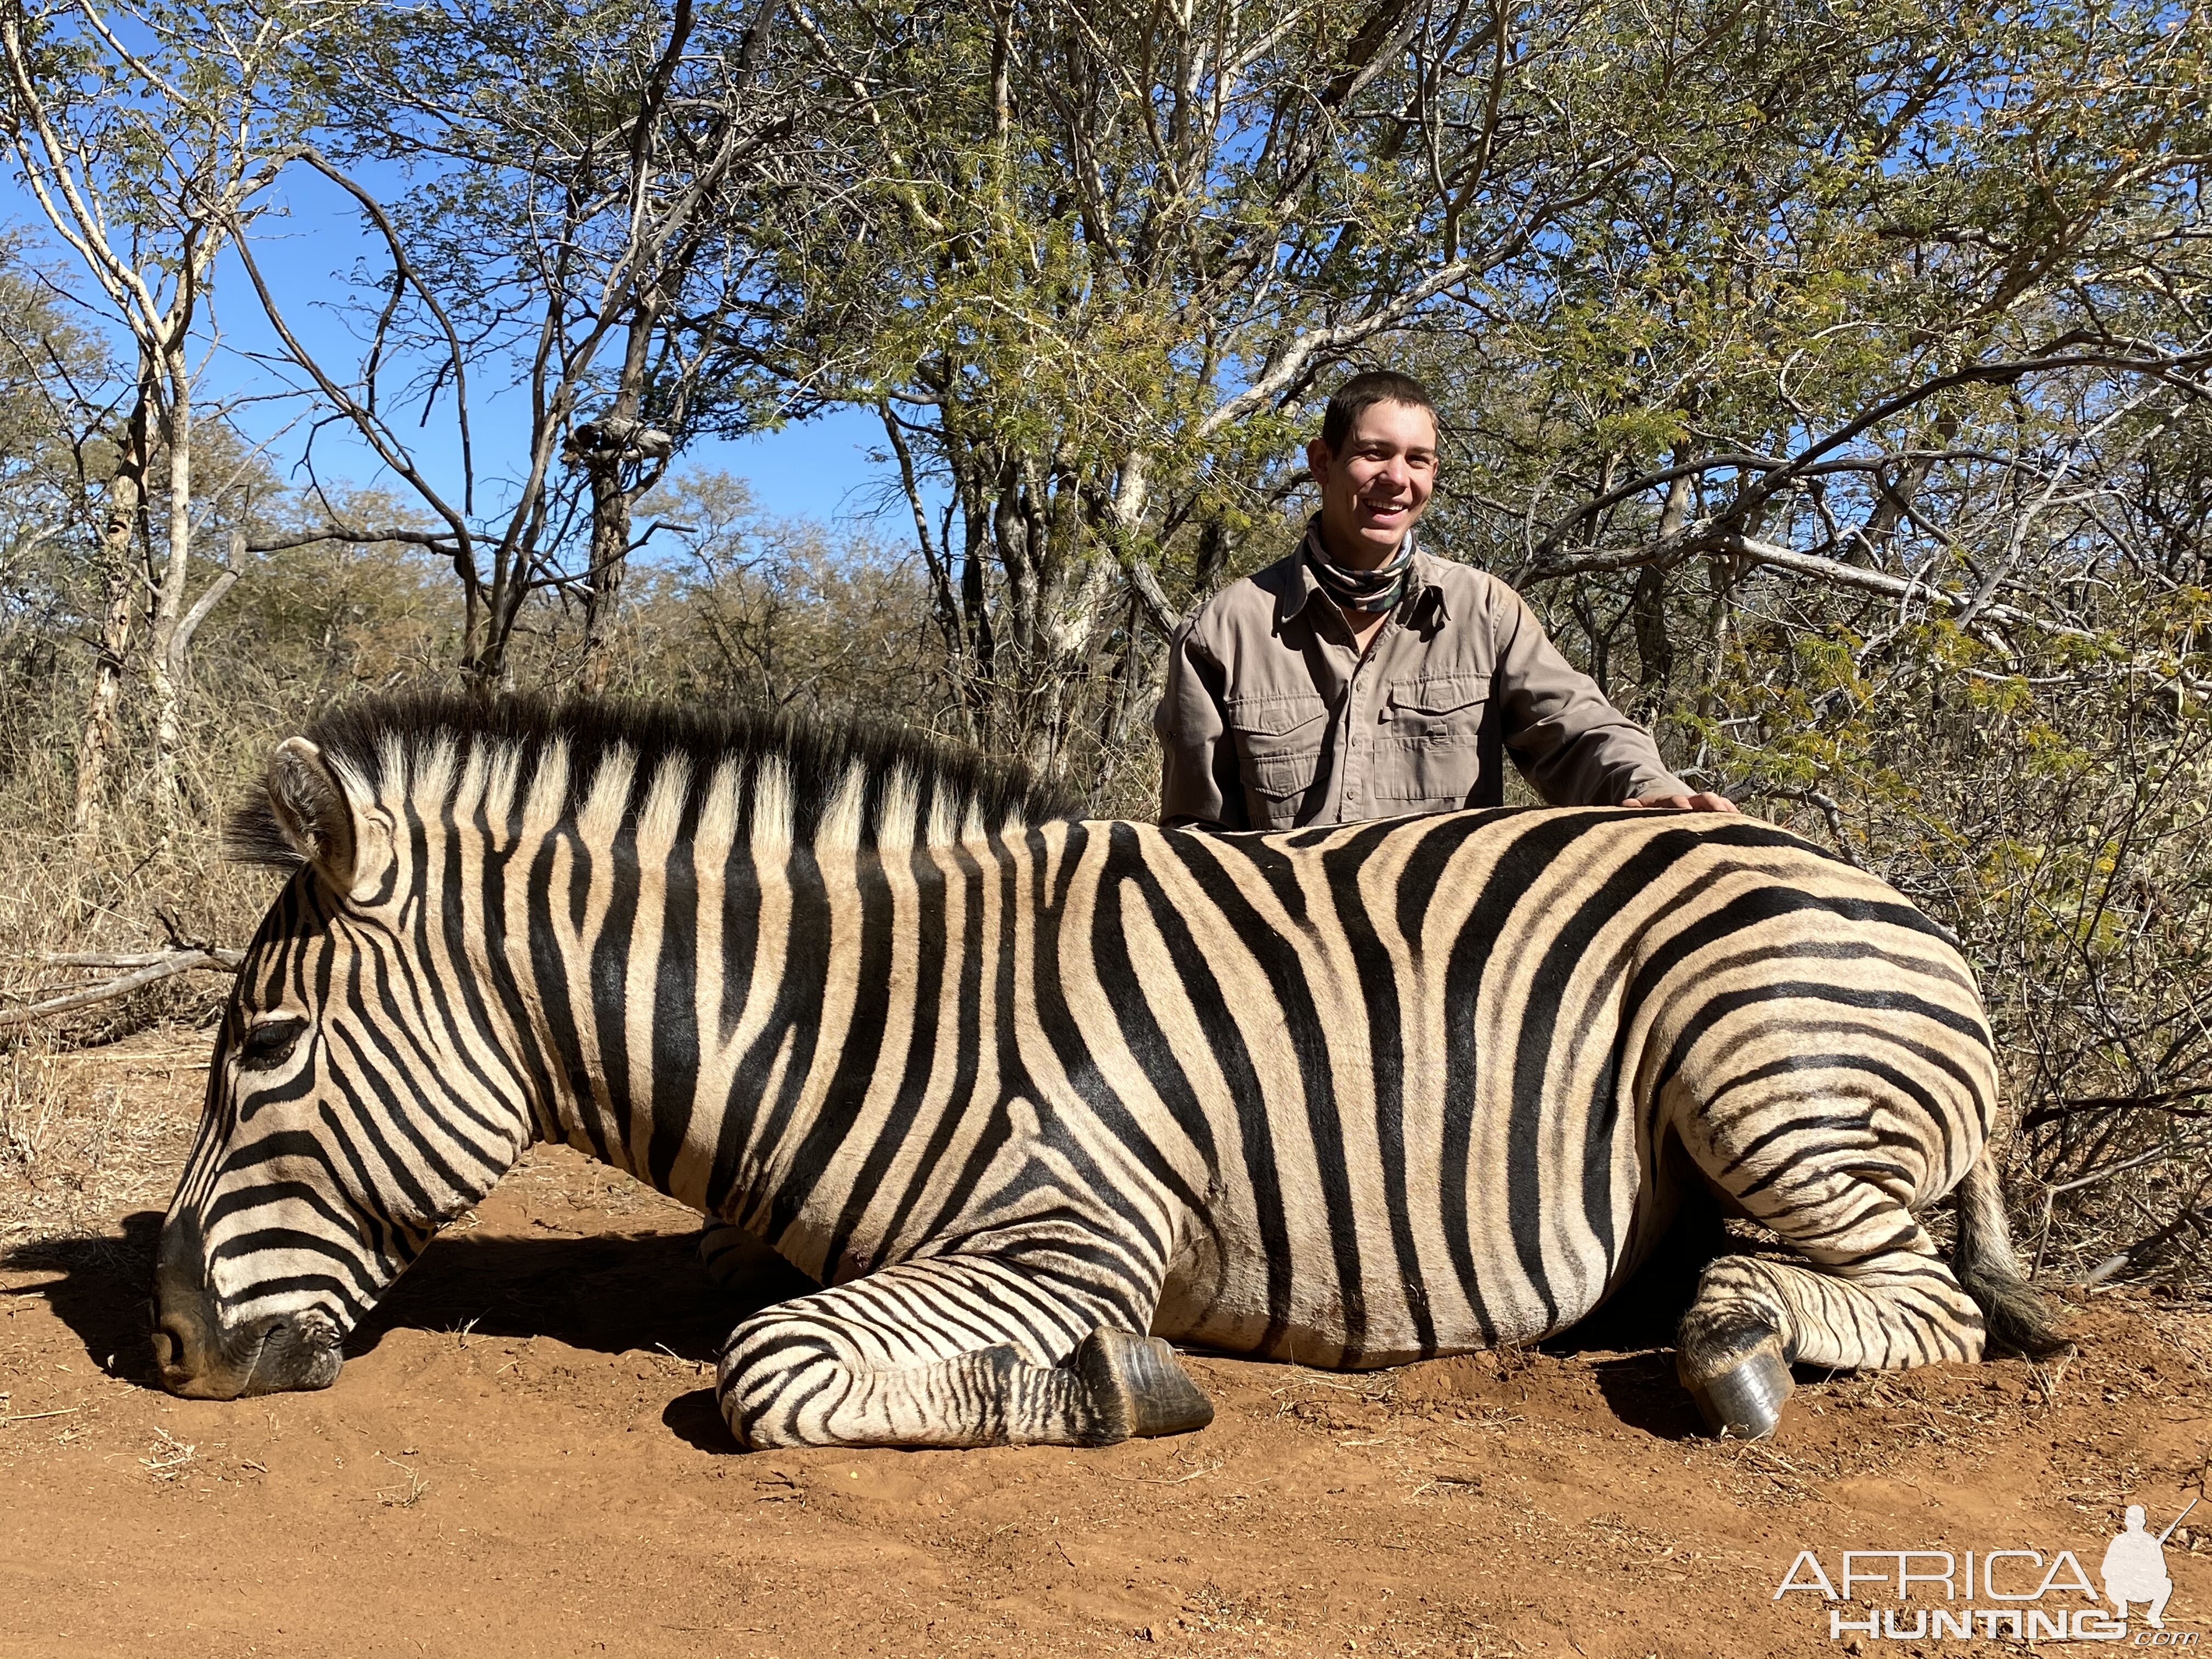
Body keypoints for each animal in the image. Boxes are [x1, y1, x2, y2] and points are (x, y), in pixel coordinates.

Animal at [151, 695, 2052, 1451]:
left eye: (260, 1048)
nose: (163, 1347)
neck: (872, 1013)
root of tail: (1895, 898)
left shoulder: (1075, 1240)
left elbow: (772, 1366)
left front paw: (1113, 1391)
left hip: (1757, 1066)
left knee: (1921, 1298)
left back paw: (1734, 1347)